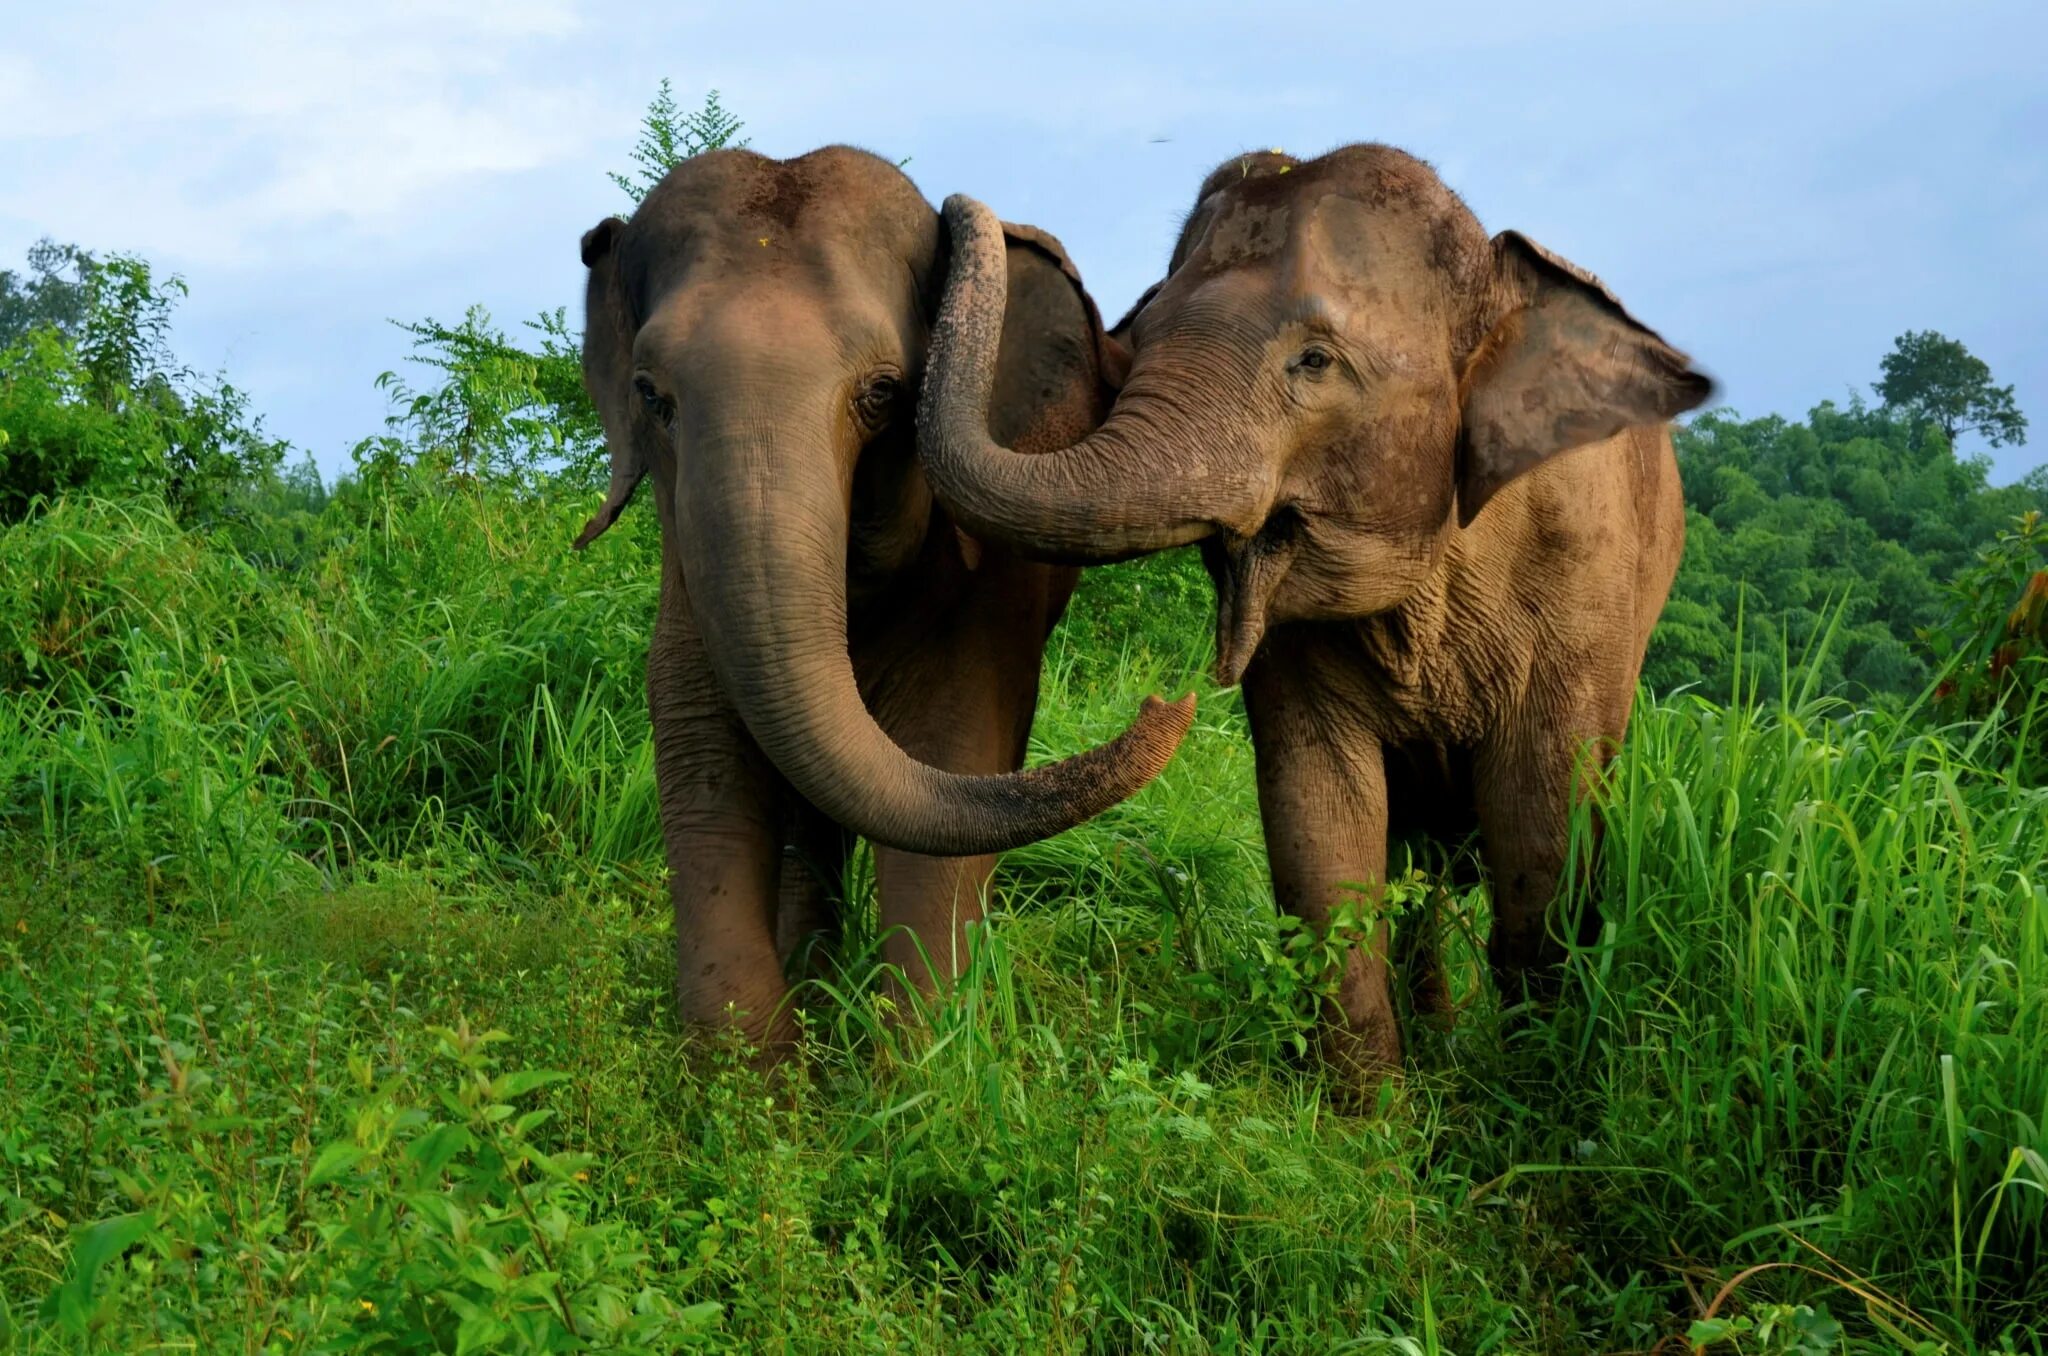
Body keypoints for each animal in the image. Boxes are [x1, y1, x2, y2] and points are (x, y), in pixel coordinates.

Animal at [569, 146, 1196, 1065]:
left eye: (884, 394)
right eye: (651, 395)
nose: (1168, 703)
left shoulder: (982, 585)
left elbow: (953, 743)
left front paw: (918, 1065)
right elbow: (701, 739)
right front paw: (752, 1074)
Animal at [917, 140, 1712, 1097]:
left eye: (1316, 362)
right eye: (1134, 343)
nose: (976, 211)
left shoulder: (1582, 583)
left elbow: (1544, 828)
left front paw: (1530, 1094)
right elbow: (1320, 817)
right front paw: (1374, 1116)